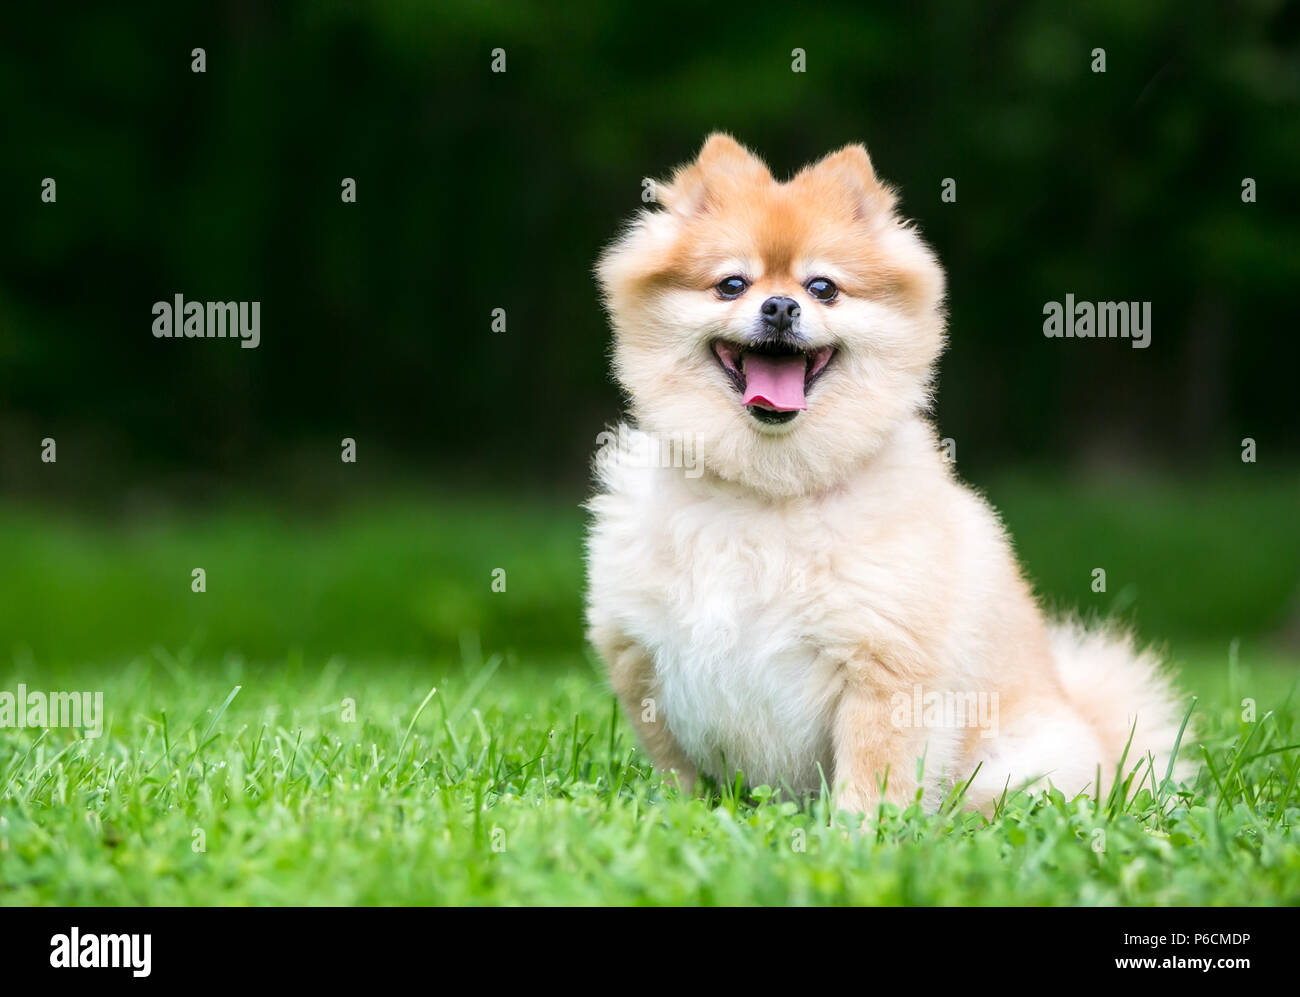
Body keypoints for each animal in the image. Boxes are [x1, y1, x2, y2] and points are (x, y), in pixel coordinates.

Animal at [587, 134, 1190, 821]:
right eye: (731, 284)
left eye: (823, 288)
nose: (780, 305)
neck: (768, 491)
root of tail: (1106, 744)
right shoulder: (641, 658)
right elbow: (675, 767)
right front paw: (676, 814)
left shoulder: (885, 665)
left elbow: (873, 771)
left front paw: (855, 832)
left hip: (1010, 770)